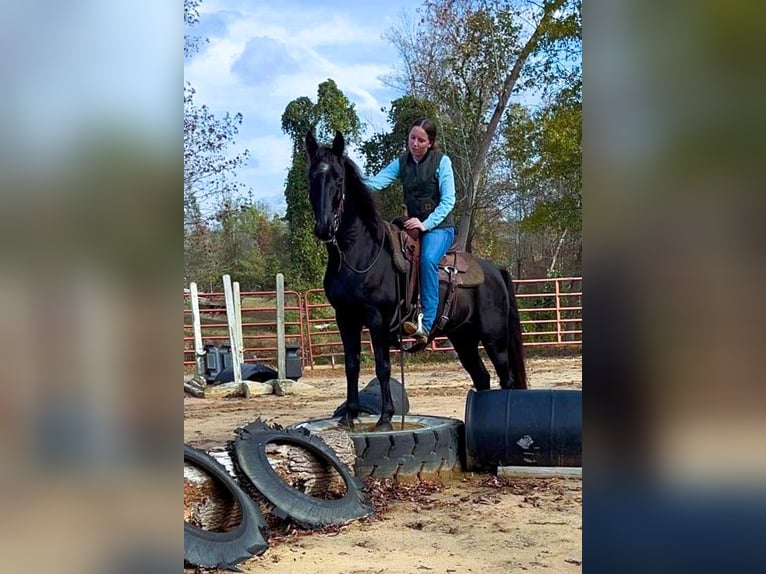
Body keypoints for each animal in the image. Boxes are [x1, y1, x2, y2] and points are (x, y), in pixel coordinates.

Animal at [306, 130, 528, 432]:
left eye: (338, 178)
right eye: (312, 177)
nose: (325, 227)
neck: (359, 254)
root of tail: (494, 270)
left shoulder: (376, 318)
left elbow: (382, 366)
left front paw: (385, 418)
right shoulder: (345, 318)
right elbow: (351, 365)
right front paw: (349, 415)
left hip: (495, 339)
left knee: (506, 379)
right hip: (463, 338)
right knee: (482, 378)